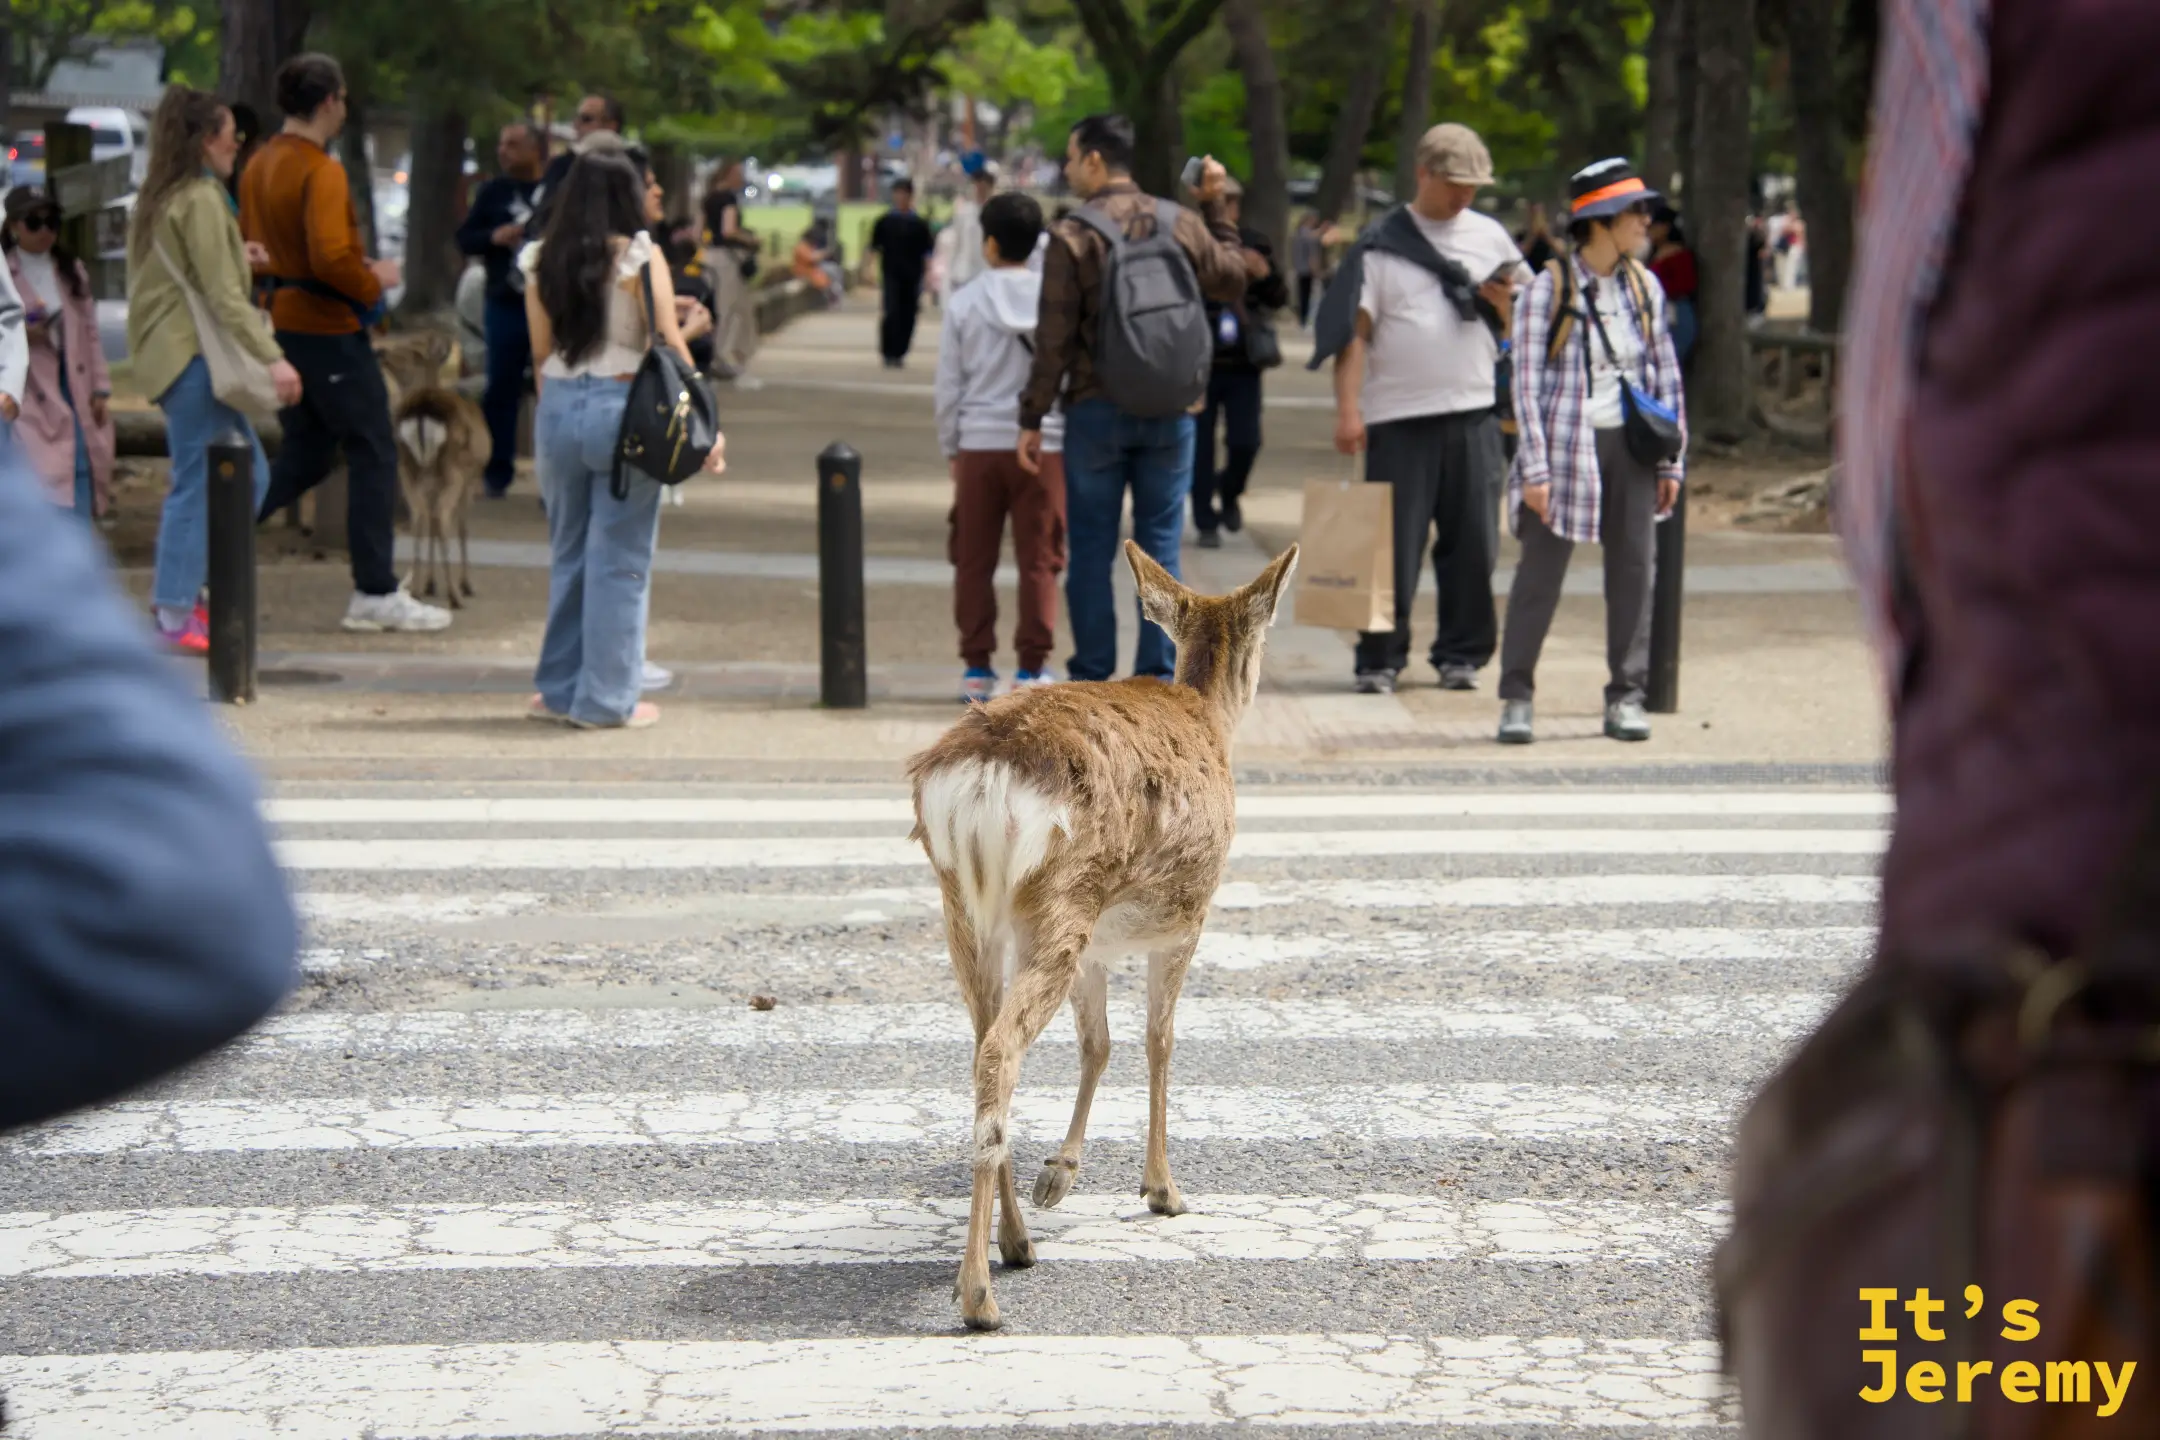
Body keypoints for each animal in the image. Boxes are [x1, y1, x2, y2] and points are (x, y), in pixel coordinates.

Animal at [376, 330, 487, 607]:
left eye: (415, 349)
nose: (380, 351)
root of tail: (422, 410)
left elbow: (432, 528)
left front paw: (429, 583)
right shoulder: (472, 479)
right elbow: (463, 528)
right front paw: (467, 585)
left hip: (407, 467)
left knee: (421, 517)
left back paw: (416, 590)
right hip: (453, 470)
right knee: (442, 517)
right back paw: (456, 595)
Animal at [906, 538, 1299, 1331]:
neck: (1207, 717)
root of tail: (980, 776)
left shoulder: (1097, 945)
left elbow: (1098, 1044)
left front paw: (1060, 1174)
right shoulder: (1188, 917)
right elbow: (1157, 1041)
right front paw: (1163, 1189)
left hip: (971, 907)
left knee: (982, 1043)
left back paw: (1017, 1240)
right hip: (1062, 896)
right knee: (1001, 1050)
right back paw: (980, 1295)